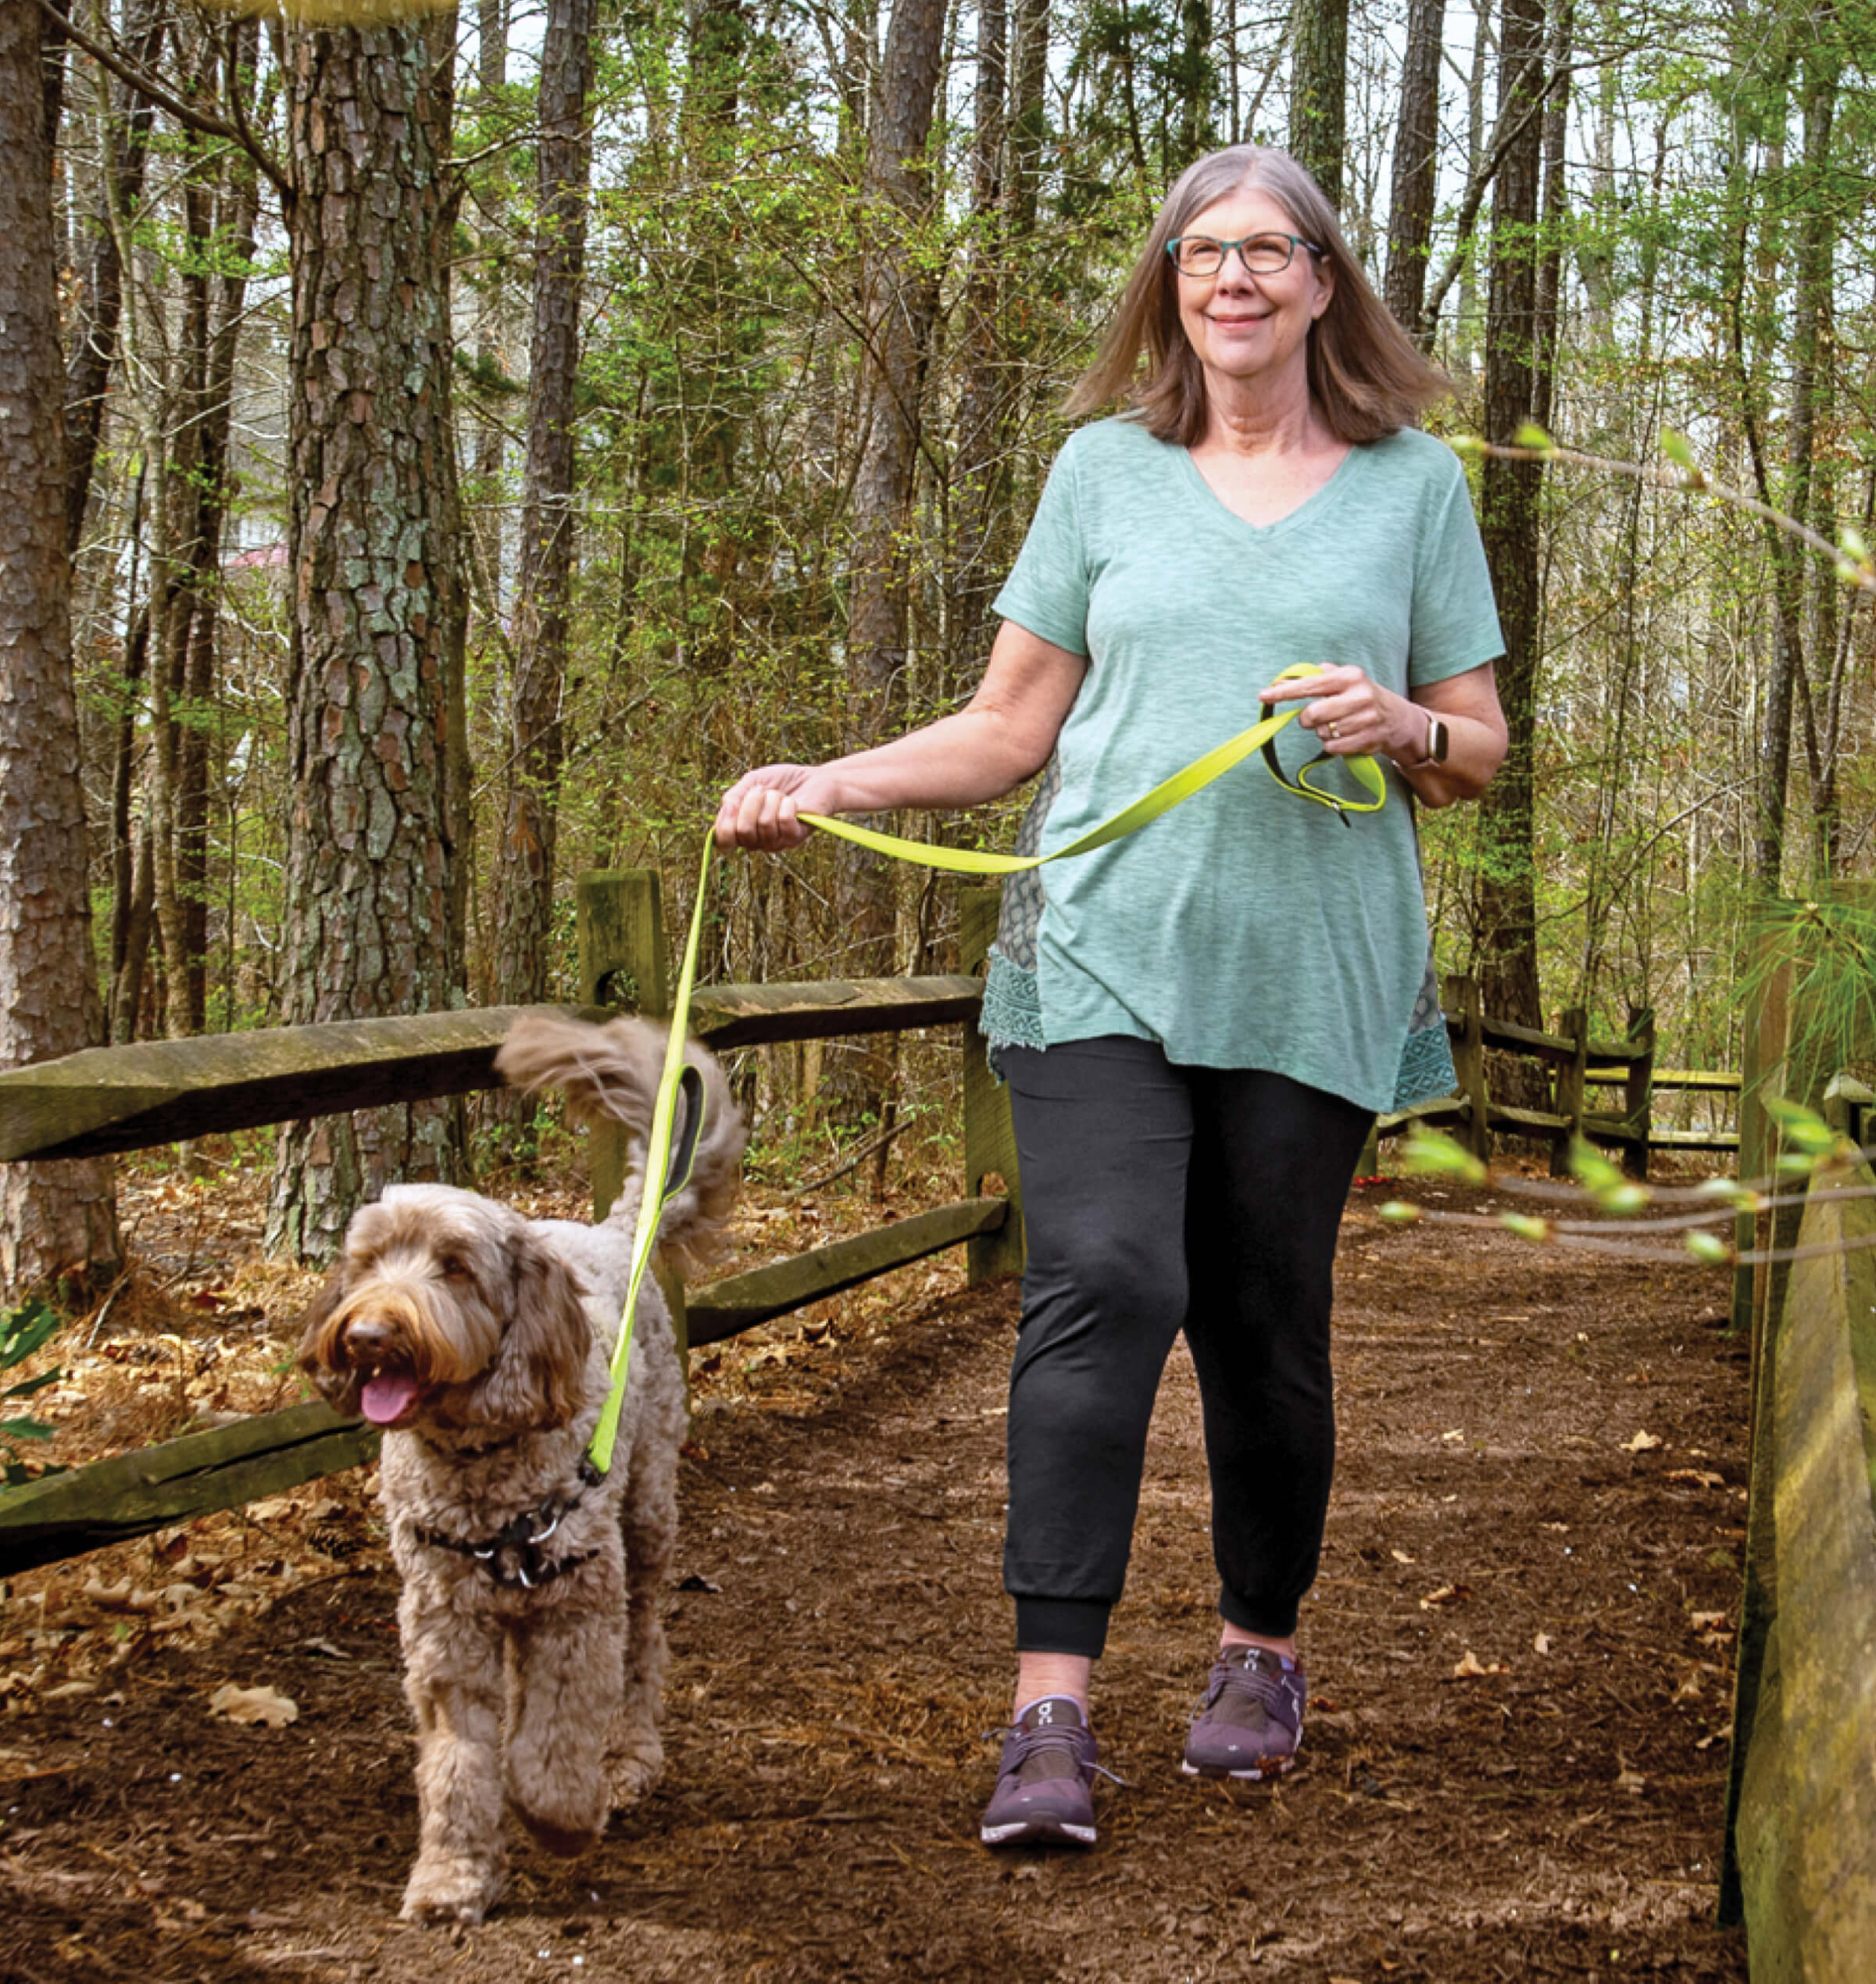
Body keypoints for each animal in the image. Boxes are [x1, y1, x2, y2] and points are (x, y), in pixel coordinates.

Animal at [295, 1015, 741, 1912]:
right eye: (368, 1260)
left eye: (455, 1267)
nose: (368, 1336)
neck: (477, 1463)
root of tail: (612, 1229)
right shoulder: (443, 1624)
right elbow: (456, 1760)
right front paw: (452, 1874)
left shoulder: (575, 1604)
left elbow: (552, 1741)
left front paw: (562, 1819)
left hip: (644, 1519)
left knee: (643, 1644)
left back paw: (630, 1756)